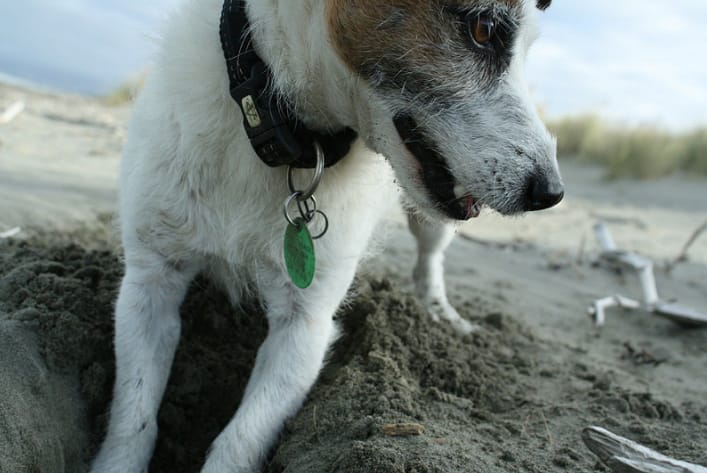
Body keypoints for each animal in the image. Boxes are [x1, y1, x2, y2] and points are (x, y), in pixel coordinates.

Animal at [90, 0, 564, 470]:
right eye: (483, 28)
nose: (551, 193)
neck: (281, 127)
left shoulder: (304, 327)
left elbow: (238, 441)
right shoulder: (150, 285)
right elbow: (133, 417)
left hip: (430, 219)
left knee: (430, 258)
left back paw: (440, 313)